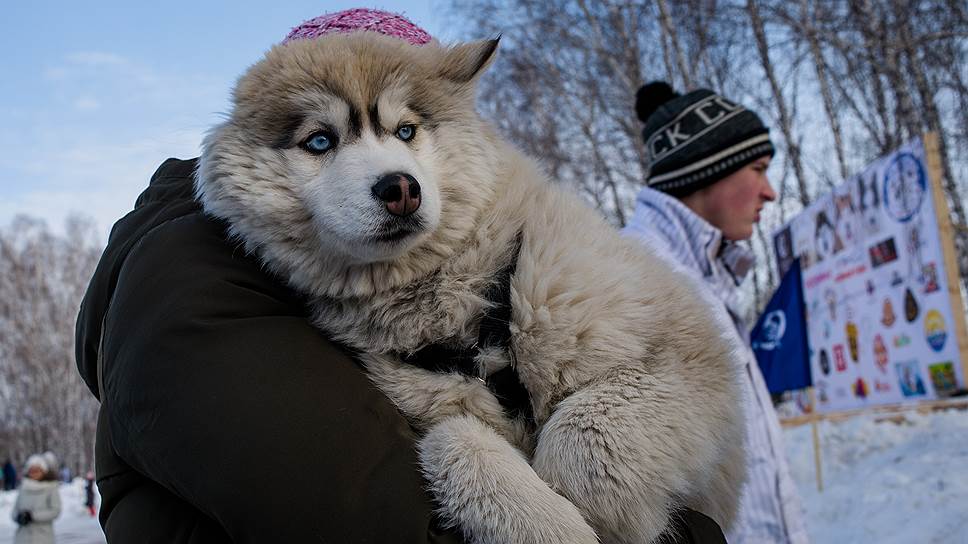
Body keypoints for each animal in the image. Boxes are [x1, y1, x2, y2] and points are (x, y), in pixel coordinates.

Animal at [195, 24, 740, 544]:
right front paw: (552, 524)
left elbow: (581, 434)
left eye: (406, 130)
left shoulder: (688, 352)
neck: (477, 314)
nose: (400, 188)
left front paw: (606, 516)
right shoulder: (427, 401)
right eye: (320, 141)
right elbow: (452, 439)